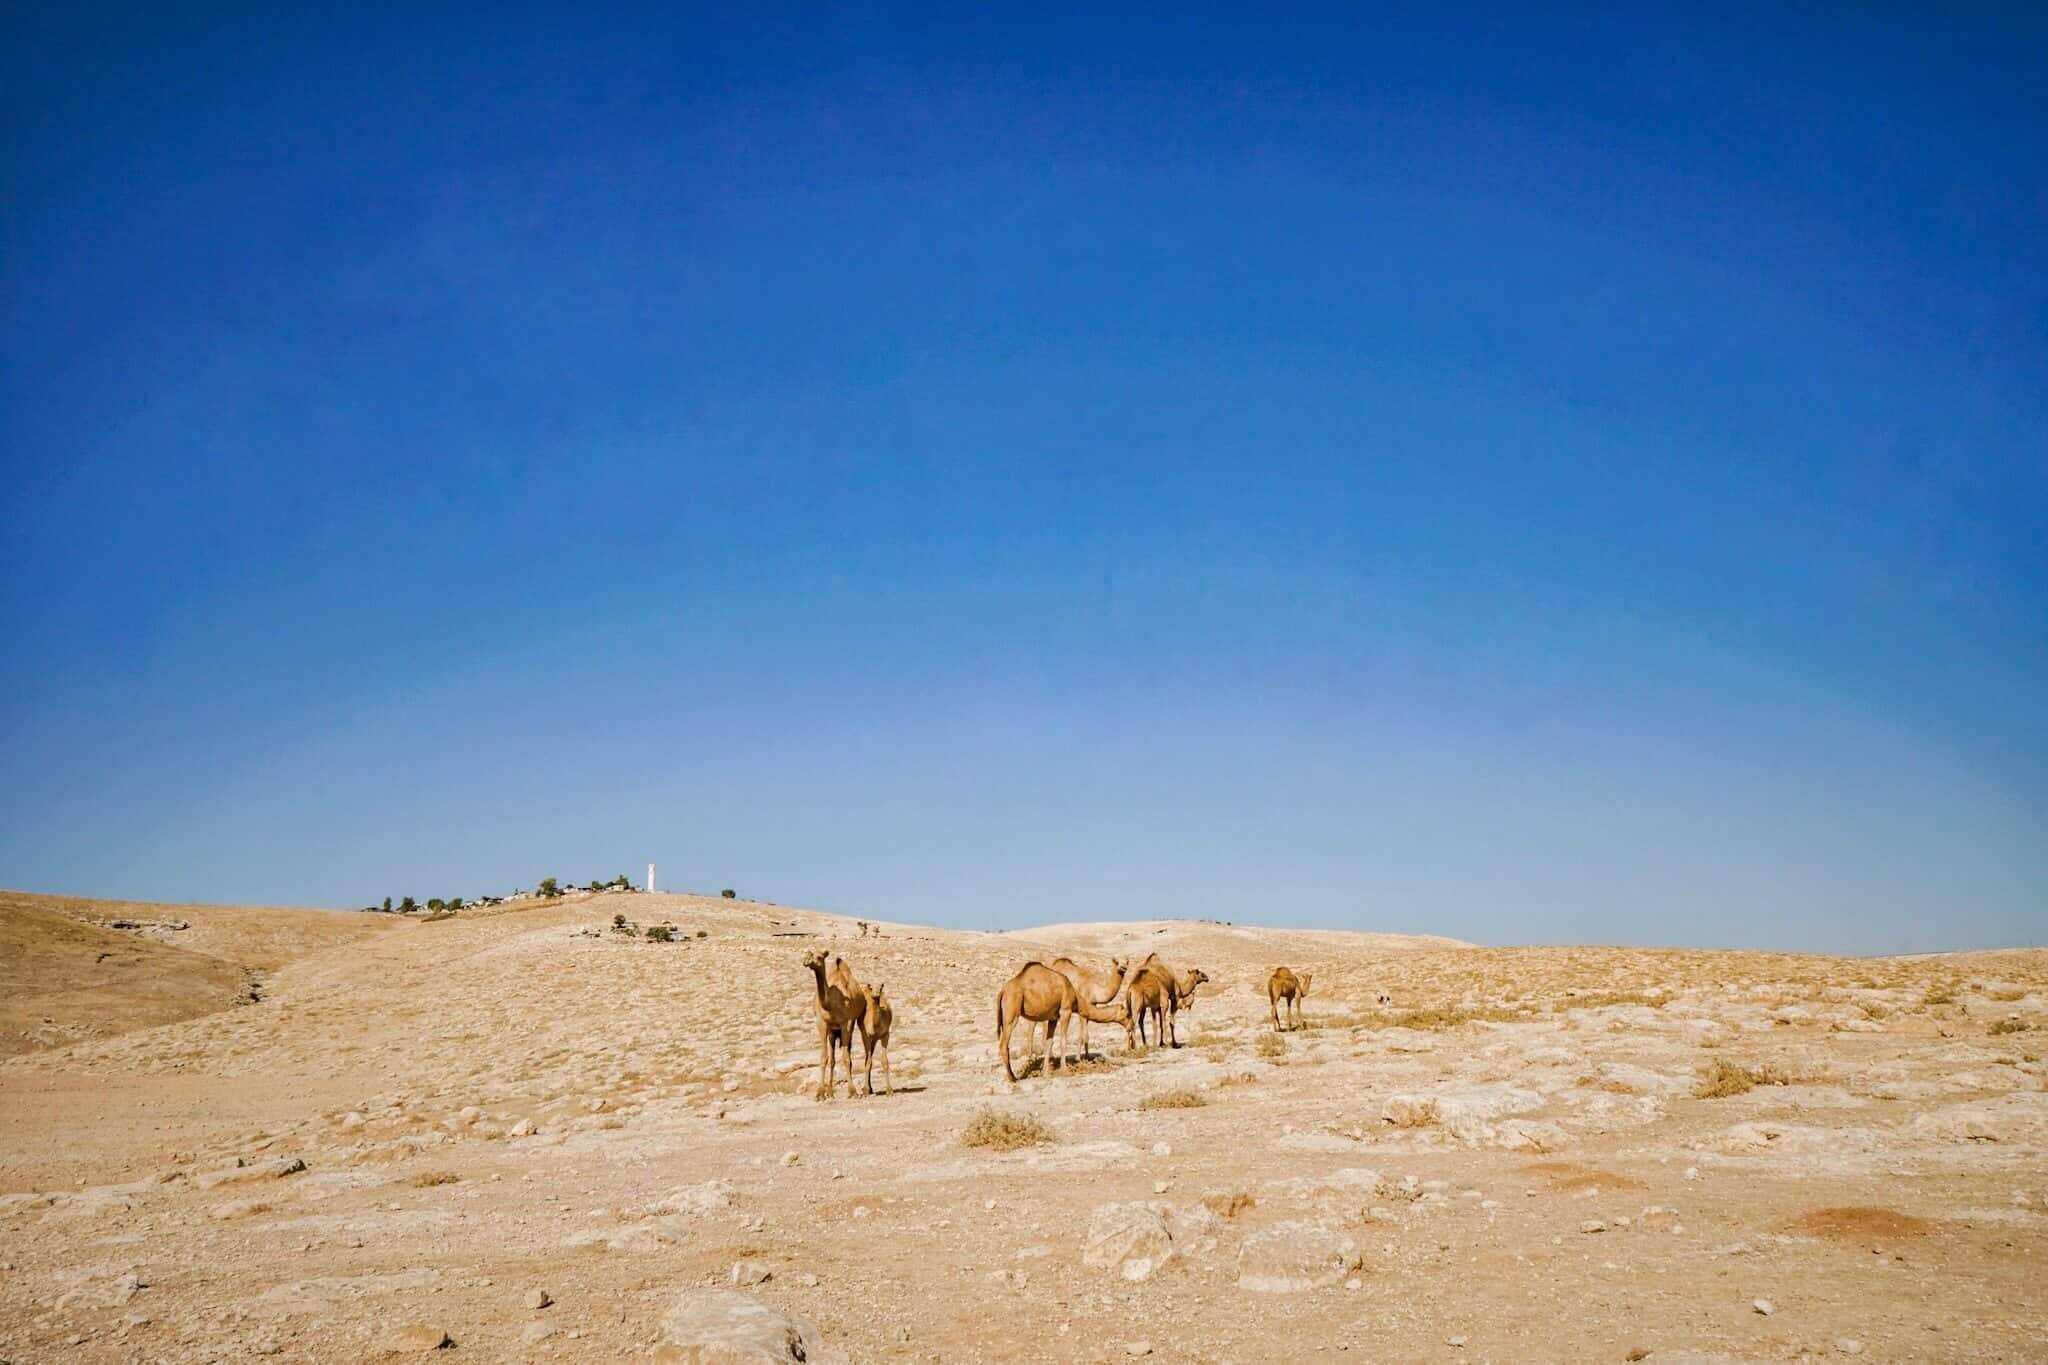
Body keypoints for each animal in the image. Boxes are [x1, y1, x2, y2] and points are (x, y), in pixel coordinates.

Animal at [798, 957, 864, 1105]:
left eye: (820, 957)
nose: (806, 961)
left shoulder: (847, 1023)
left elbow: (846, 1058)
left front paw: (852, 1092)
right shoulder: (821, 1023)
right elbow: (825, 1058)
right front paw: (820, 1094)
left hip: (848, 1027)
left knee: (847, 1054)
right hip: (833, 1033)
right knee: (833, 1059)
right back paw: (830, 1092)